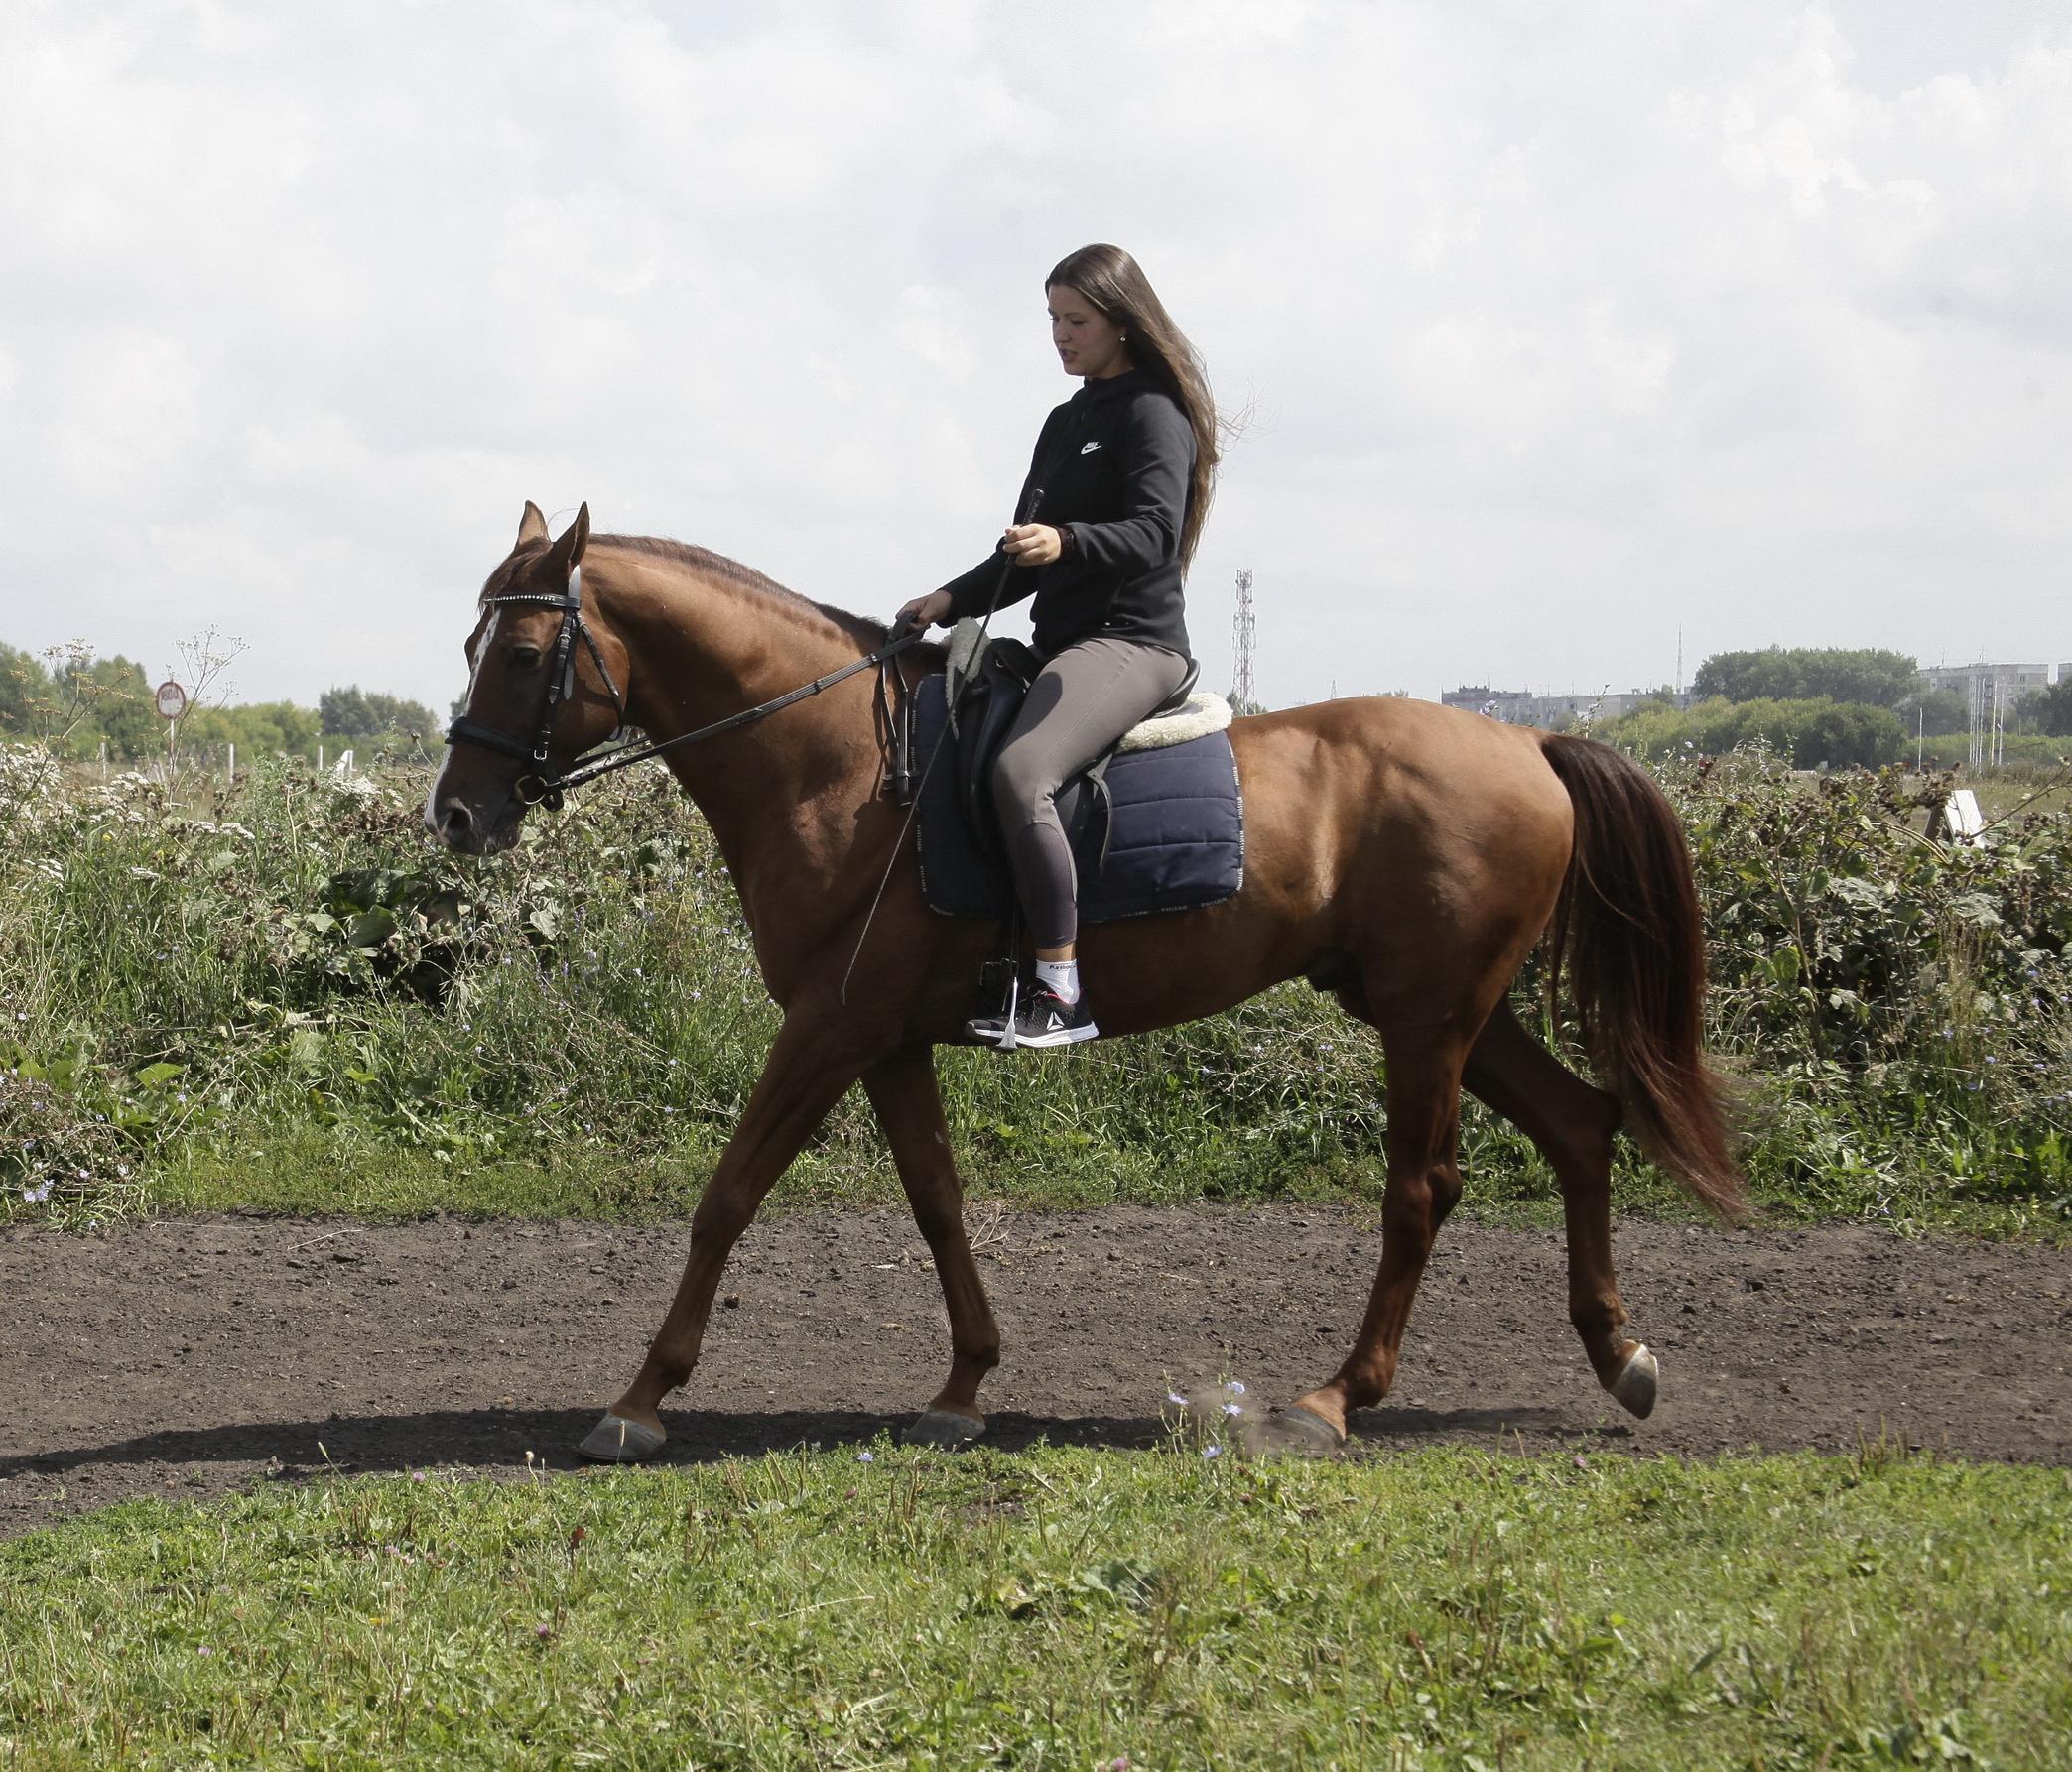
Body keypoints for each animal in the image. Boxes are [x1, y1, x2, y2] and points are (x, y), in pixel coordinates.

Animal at [429, 501, 1740, 1466]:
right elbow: (938, 1201)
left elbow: (728, 1195)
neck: (837, 762)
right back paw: (1620, 1357)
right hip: (1448, 1008)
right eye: (472, 647)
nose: (455, 816)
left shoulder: (827, 1027)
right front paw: (963, 1385)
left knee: (1421, 1191)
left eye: (529, 653)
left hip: (1427, 1021)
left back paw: (1336, 1398)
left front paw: (638, 1399)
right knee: (1582, 1125)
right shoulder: (886, 1037)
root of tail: (1529, 742)